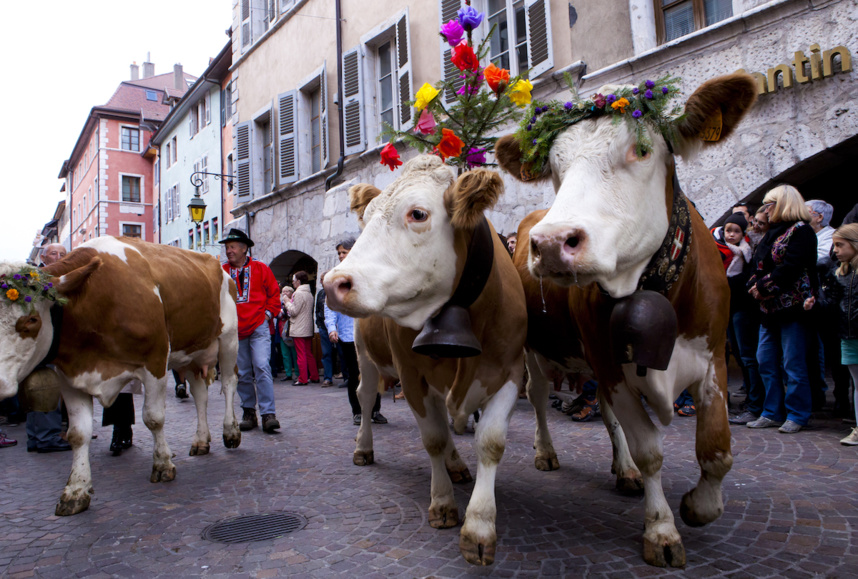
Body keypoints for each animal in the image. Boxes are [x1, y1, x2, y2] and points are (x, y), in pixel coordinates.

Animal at [0, 238, 241, 520]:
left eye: (32, 320)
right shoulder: (69, 376)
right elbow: (77, 434)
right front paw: (76, 490)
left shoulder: (156, 360)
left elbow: (153, 418)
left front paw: (163, 464)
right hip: (192, 352)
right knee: (200, 394)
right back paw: (201, 440)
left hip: (228, 340)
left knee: (229, 384)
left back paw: (231, 431)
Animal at [324, 155, 524, 568]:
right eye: (367, 216)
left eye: (418, 213)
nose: (333, 283)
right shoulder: (411, 374)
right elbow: (432, 437)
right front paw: (443, 503)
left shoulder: (511, 370)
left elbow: (490, 442)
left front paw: (479, 527)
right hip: (365, 356)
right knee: (364, 396)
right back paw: (363, 447)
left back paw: (457, 465)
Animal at [494, 72, 756, 568]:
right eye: (554, 167)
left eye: (642, 150)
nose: (551, 242)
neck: (652, 285)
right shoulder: (611, 365)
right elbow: (650, 449)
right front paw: (662, 531)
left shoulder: (714, 357)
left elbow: (718, 450)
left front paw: (699, 506)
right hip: (538, 353)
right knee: (537, 400)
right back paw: (546, 450)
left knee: (606, 413)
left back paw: (624, 471)